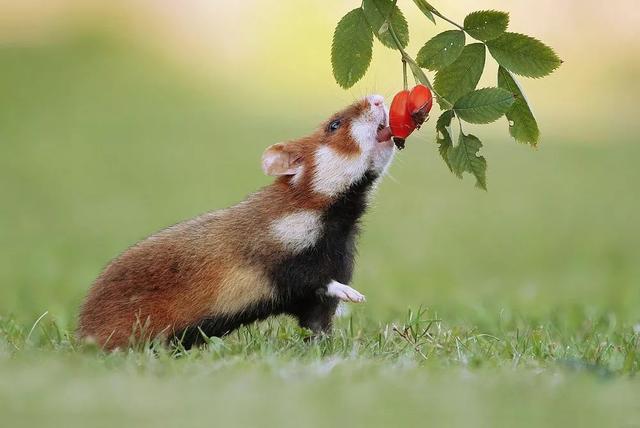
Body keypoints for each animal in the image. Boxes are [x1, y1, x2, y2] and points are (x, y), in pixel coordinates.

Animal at [79, 95, 396, 350]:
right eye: (334, 124)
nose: (378, 98)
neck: (336, 225)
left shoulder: (318, 299)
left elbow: (319, 326)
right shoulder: (277, 262)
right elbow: (313, 280)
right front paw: (352, 294)